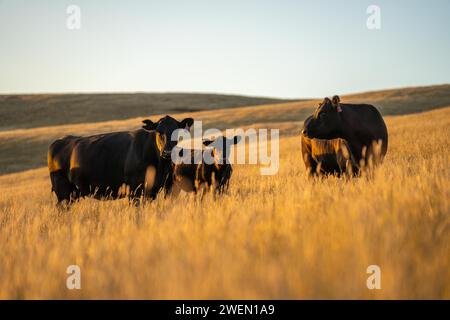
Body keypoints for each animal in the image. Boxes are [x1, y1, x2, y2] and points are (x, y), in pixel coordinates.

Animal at [47, 115, 193, 205]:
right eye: (158, 132)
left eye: (177, 132)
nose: (167, 152)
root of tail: (61, 140)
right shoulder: (134, 189)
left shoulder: (159, 189)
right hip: (62, 190)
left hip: (73, 193)